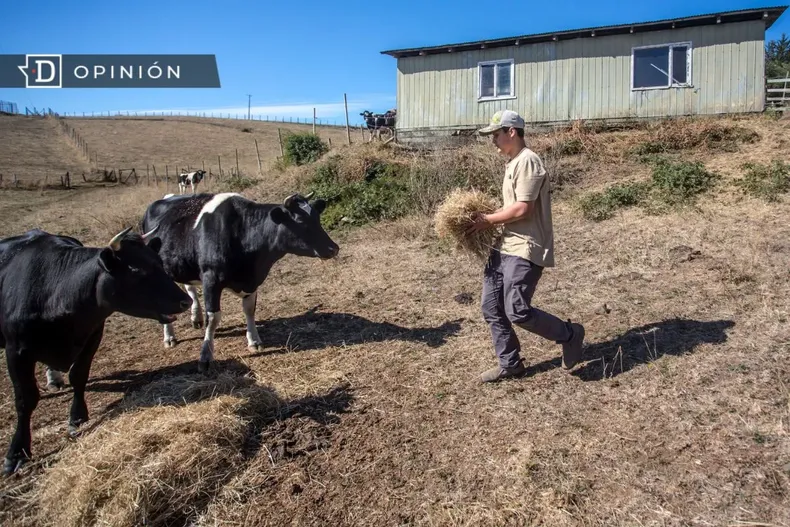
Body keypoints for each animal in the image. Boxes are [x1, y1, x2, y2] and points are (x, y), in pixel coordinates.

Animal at [0, 227, 192, 475]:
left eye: (160, 263)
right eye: (136, 270)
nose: (186, 301)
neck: (56, 289)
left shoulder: (93, 335)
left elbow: (79, 376)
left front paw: (77, 417)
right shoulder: (16, 351)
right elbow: (25, 398)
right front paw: (16, 453)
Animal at [140, 191, 339, 373]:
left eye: (317, 219)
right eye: (300, 222)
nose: (333, 248)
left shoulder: (252, 280)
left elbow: (249, 310)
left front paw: (254, 340)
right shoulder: (211, 279)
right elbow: (213, 318)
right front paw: (206, 356)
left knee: (190, 288)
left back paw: (195, 317)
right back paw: (169, 337)